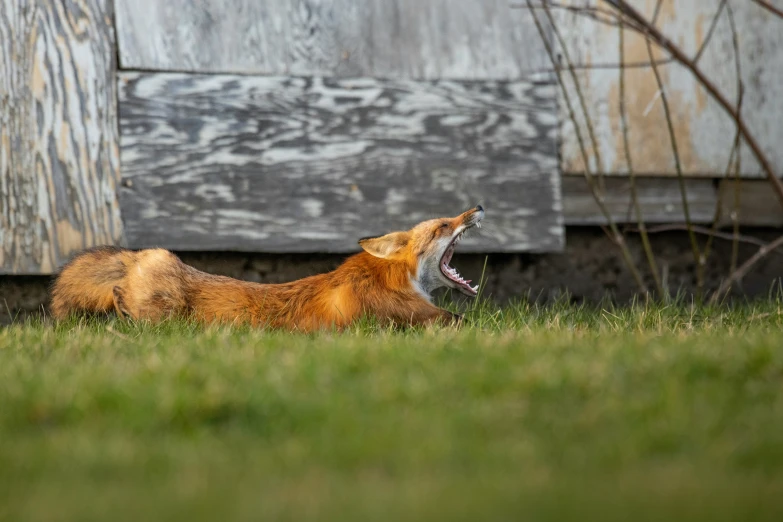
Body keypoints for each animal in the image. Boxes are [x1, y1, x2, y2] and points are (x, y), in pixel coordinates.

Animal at [49, 204, 484, 330]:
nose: (477, 208)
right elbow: (463, 321)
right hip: (164, 310)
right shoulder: (416, 316)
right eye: (443, 226)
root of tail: (144, 254)